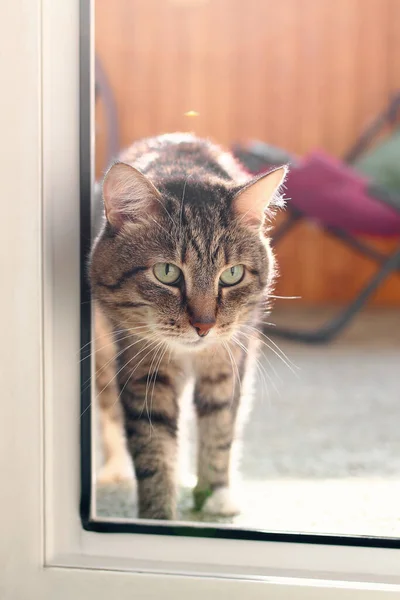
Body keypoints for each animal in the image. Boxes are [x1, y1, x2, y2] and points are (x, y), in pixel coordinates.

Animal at [89, 134, 286, 516]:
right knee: (109, 414)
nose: (204, 325)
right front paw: (157, 515)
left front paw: (215, 497)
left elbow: (220, 430)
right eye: (167, 273)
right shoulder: (144, 368)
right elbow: (153, 449)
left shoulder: (228, 362)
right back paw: (116, 469)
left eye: (232, 274)